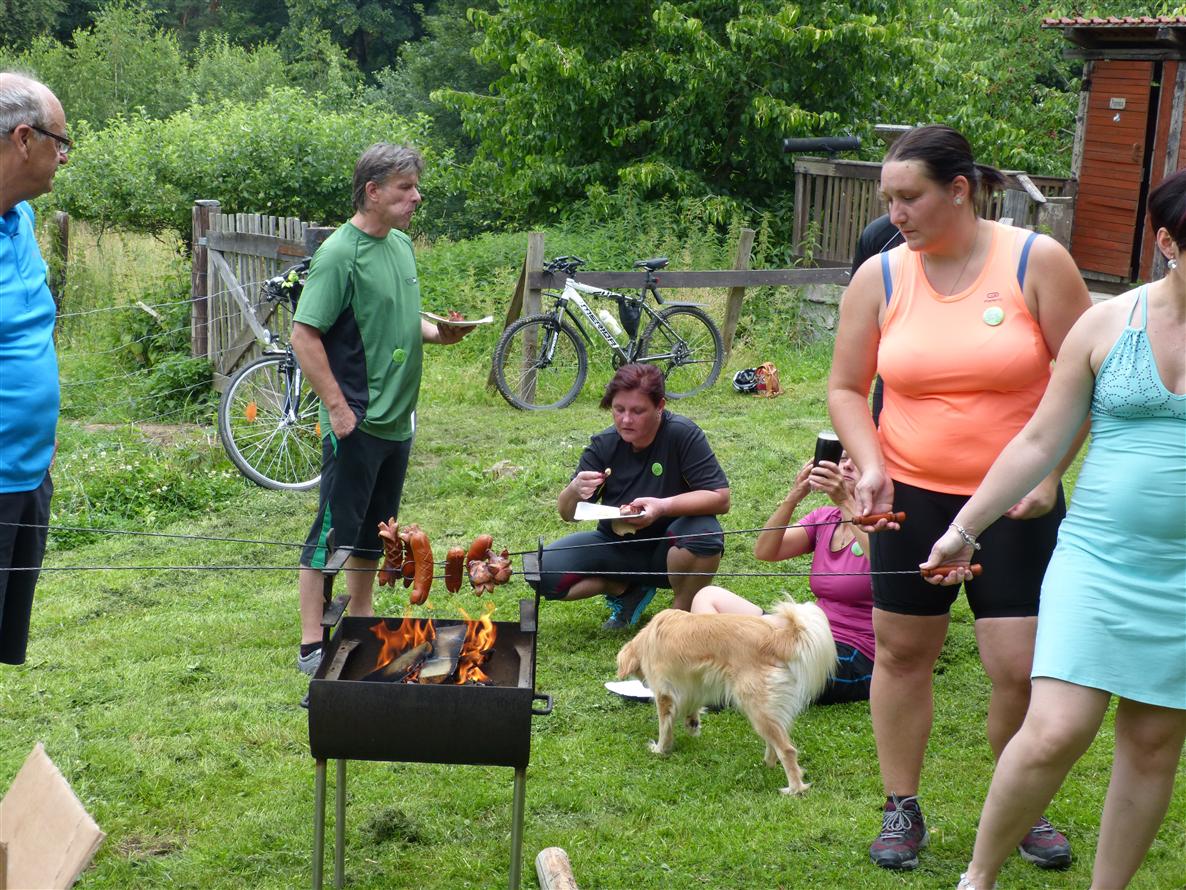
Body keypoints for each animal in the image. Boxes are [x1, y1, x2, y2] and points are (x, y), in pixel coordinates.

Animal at [615, 600, 835, 795]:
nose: (645, 685)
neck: (648, 638)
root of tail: (774, 638)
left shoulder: (665, 695)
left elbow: (664, 728)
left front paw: (660, 749)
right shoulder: (693, 683)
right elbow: (691, 706)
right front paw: (692, 724)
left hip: (756, 706)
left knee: (787, 750)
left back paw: (794, 789)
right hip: (767, 710)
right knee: (775, 741)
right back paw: (768, 763)